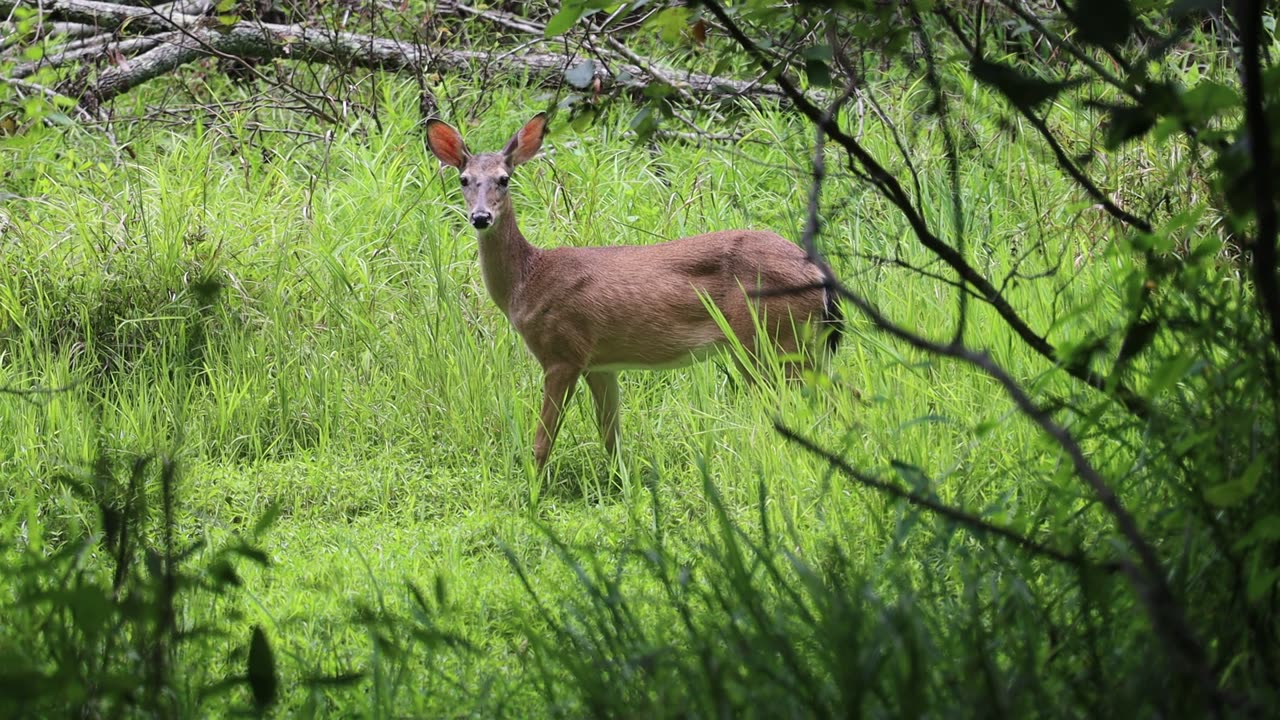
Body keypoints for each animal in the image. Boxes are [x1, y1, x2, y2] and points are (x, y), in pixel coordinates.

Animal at [427, 110, 839, 471]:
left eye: (504, 178)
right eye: (464, 179)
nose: (481, 217)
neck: (527, 281)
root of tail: (820, 273)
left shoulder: (562, 352)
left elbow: (543, 441)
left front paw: (532, 494)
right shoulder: (600, 363)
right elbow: (611, 437)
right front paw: (621, 488)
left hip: (775, 341)